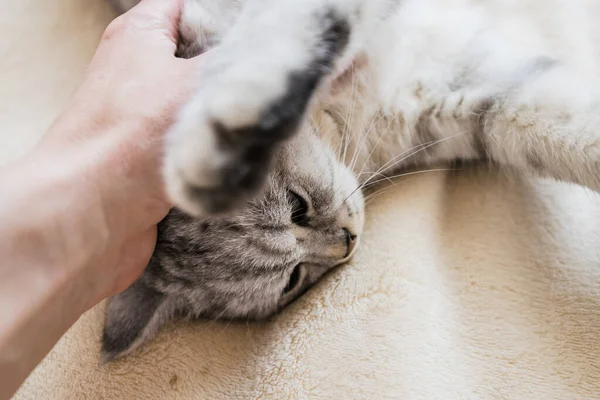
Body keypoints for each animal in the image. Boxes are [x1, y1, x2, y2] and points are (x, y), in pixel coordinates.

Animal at [103, 0, 600, 362]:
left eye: (297, 205)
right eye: (293, 280)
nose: (348, 242)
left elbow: (273, 42)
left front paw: (220, 135)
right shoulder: (471, 94)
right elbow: (570, 132)